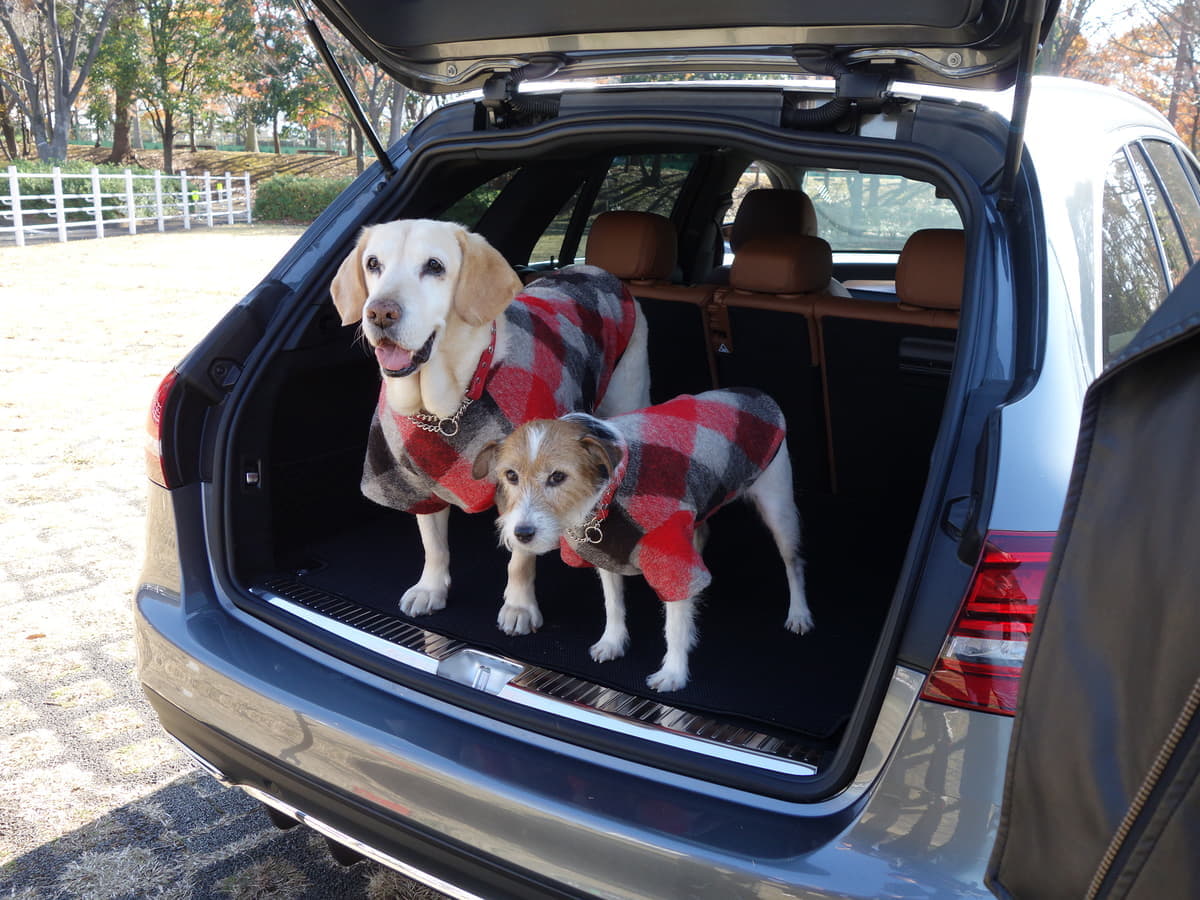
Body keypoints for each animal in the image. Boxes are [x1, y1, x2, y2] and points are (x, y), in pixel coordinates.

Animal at [330, 218, 650, 628]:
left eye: (434, 266)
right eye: (373, 264)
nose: (380, 313)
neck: (449, 407)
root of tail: (598, 270)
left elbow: (520, 558)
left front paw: (519, 606)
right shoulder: (415, 480)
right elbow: (433, 544)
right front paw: (431, 588)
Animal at [471, 388, 812, 691]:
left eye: (557, 477)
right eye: (511, 476)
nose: (521, 534)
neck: (608, 493)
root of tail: (755, 393)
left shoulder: (672, 560)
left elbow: (674, 623)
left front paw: (673, 672)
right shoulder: (606, 552)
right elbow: (613, 603)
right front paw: (612, 641)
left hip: (778, 506)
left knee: (792, 562)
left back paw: (799, 614)